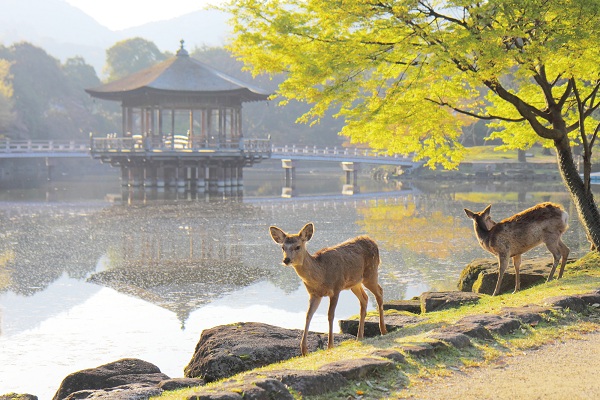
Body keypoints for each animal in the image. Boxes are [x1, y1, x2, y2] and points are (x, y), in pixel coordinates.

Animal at [268, 222, 390, 356]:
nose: (286, 260)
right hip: (354, 282)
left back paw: (383, 330)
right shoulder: (314, 294)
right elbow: (308, 315)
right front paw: (304, 350)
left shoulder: (336, 288)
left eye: (298, 246)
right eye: (283, 247)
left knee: (380, 292)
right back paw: (359, 336)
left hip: (371, 273)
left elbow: (330, 315)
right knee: (365, 298)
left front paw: (330, 345)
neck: (321, 274)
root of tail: (372, 241)